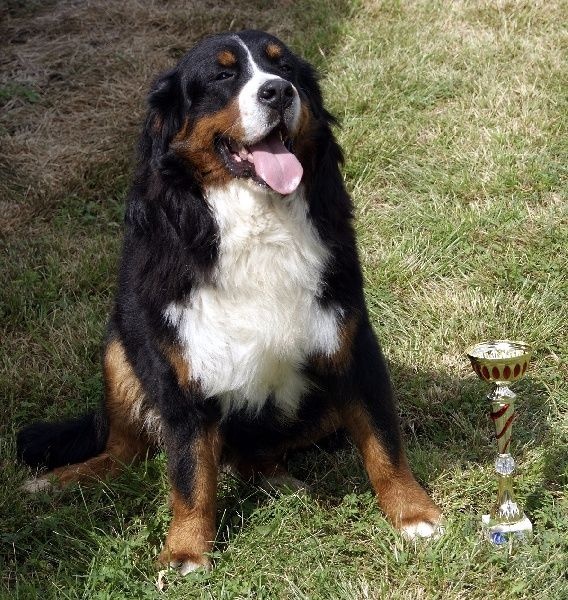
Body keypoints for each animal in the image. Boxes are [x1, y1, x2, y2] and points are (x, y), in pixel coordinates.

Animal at [17, 30, 442, 574]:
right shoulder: (181, 364)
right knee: (124, 452)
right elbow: (189, 470)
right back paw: (57, 481)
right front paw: (185, 550)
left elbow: (383, 441)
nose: (278, 92)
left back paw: (280, 481)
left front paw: (413, 514)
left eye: (287, 69)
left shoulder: (348, 343)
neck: (257, 221)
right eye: (222, 75)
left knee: (250, 456)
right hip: (119, 348)